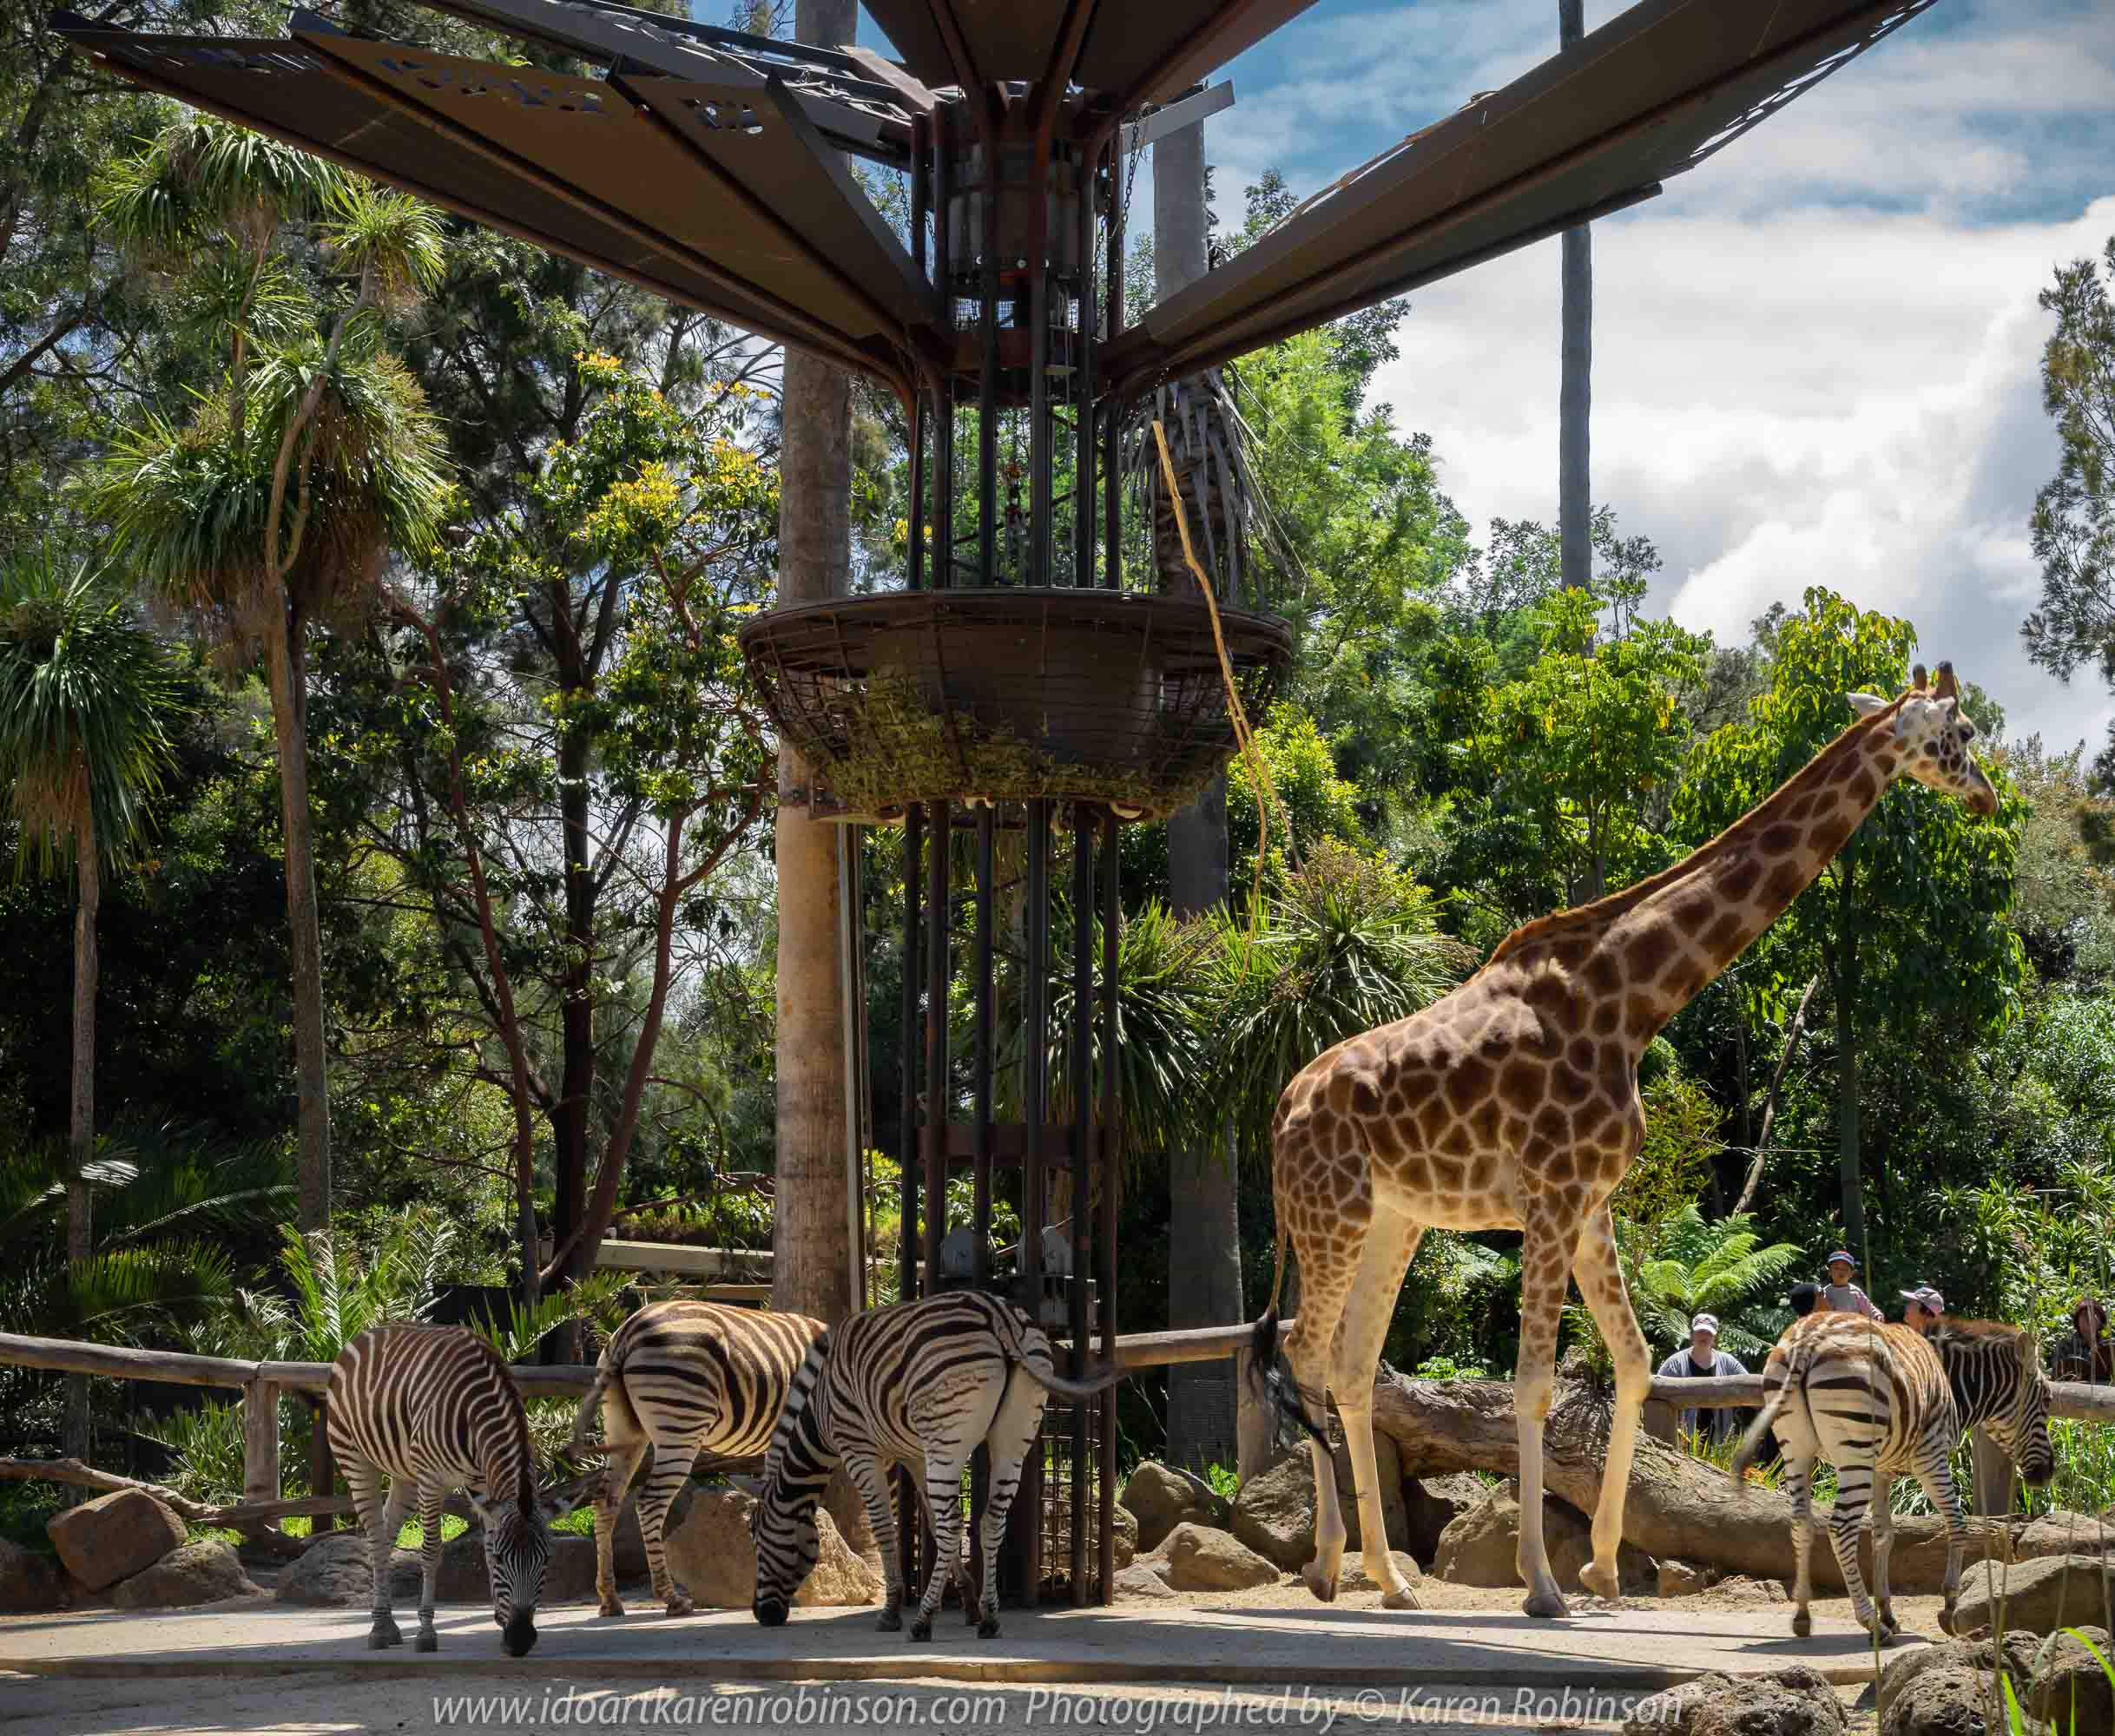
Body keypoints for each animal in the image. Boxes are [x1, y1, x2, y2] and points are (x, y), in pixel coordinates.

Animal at [326, 1323, 571, 1656]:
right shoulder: (432, 1479)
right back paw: (378, 1629)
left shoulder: (484, 1485)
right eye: (502, 1561)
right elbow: (431, 1551)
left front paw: (501, 1621)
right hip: (355, 1458)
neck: (475, 1412)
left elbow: (486, 1544)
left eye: (546, 1560)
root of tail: (366, 1334)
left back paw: (389, 1624)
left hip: (405, 1475)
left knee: (387, 1536)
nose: (520, 1639)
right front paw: (426, 1632)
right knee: (375, 1540)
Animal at [568, 1299, 826, 1618]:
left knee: (606, 1501)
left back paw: (610, 1599)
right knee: (650, 1503)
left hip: (623, 1427)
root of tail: (629, 1329)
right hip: (681, 1424)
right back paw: (672, 1599)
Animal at [749, 1289, 1121, 1641]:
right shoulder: (914, 1454)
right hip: (1012, 1439)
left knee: (954, 1524)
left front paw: (892, 1610)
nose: (762, 1615)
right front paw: (968, 1603)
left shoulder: (860, 1449)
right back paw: (989, 1617)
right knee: (990, 1521)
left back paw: (922, 1621)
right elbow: (928, 1517)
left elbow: (885, 1528)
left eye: (758, 1542)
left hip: (947, 1438)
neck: (820, 1407)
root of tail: (999, 1316)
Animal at [1249, 663, 1997, 1617]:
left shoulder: (1592, 1199)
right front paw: (1541, 1583)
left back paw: (1390, 1577)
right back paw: (1325, 1562)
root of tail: (1279, 1111)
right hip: (1331, 1214)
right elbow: (1534, 1384)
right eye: (1964, 732)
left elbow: (1637, 1362)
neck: (1637, 997)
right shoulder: (1551, 1194)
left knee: (1349, 1366)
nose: (1986, 797)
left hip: (1394, 1218)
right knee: (1306, 1352)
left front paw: (1601, 1564)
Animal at [1731, 1311, 2053, 1640]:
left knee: (1801, 1524)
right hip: (1854, 1449)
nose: (2048, 1473)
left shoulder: (1881, 1470)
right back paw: (1869, 1623)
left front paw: (1888, 1612)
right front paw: (1949, 1607)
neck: (1952, 1382)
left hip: (1795, 1447)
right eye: (2048, 1400)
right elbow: (1957, 1525)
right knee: (1841, 1528)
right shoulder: (1932, 1457)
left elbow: (1883, 1536)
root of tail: (1807, 1339)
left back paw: (1803, 1615)